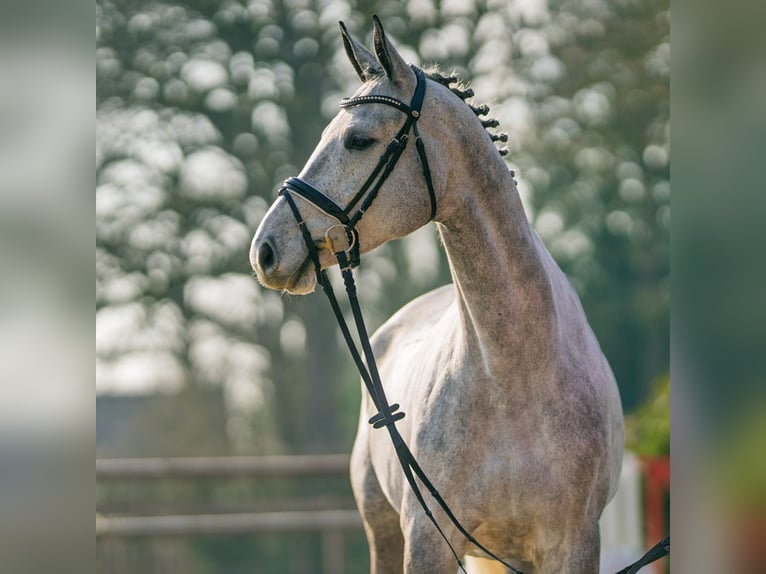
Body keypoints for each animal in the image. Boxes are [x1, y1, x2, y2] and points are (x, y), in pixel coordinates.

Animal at [251, 18, 624, 574]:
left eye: (358, 139)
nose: (265, 250)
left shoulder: (575, 544)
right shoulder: (427, 540)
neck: (514, 375)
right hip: (385, 531)